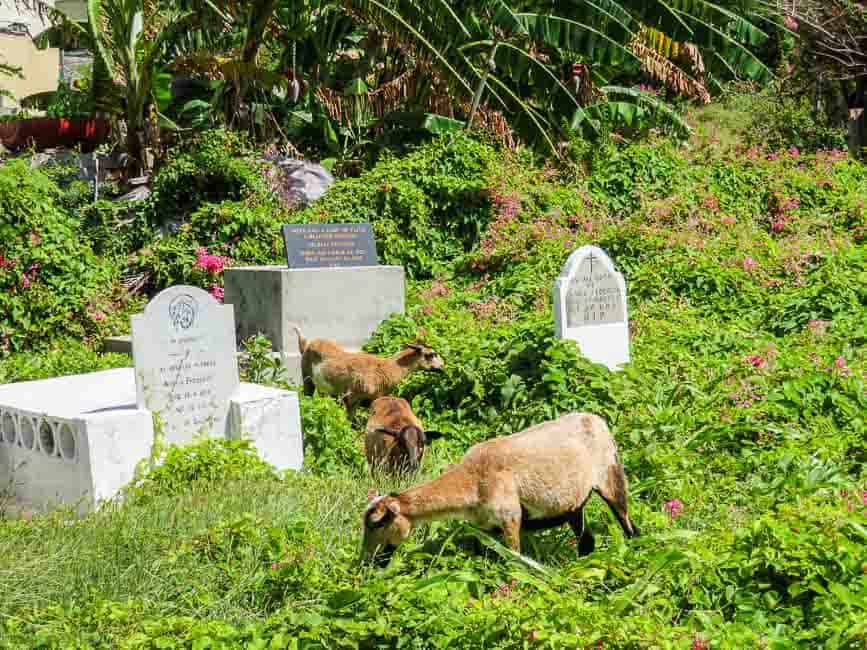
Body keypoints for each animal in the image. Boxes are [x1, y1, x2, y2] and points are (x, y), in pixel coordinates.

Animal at [294, 324, 444, 416]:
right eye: (431, 354)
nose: (442, 366)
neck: (386, 368)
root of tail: (306, 344)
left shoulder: (374, 398)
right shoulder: (352, 397)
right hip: (307, 378)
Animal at [360, 412, 636, 564]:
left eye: (377, 523)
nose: (368, 561)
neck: (471, 481)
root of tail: (596, 419)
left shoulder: (510, 517)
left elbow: (514, 559)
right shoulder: (485, 527)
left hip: (610, 473)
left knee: (628, 523)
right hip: (572, 504)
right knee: (586, 539)